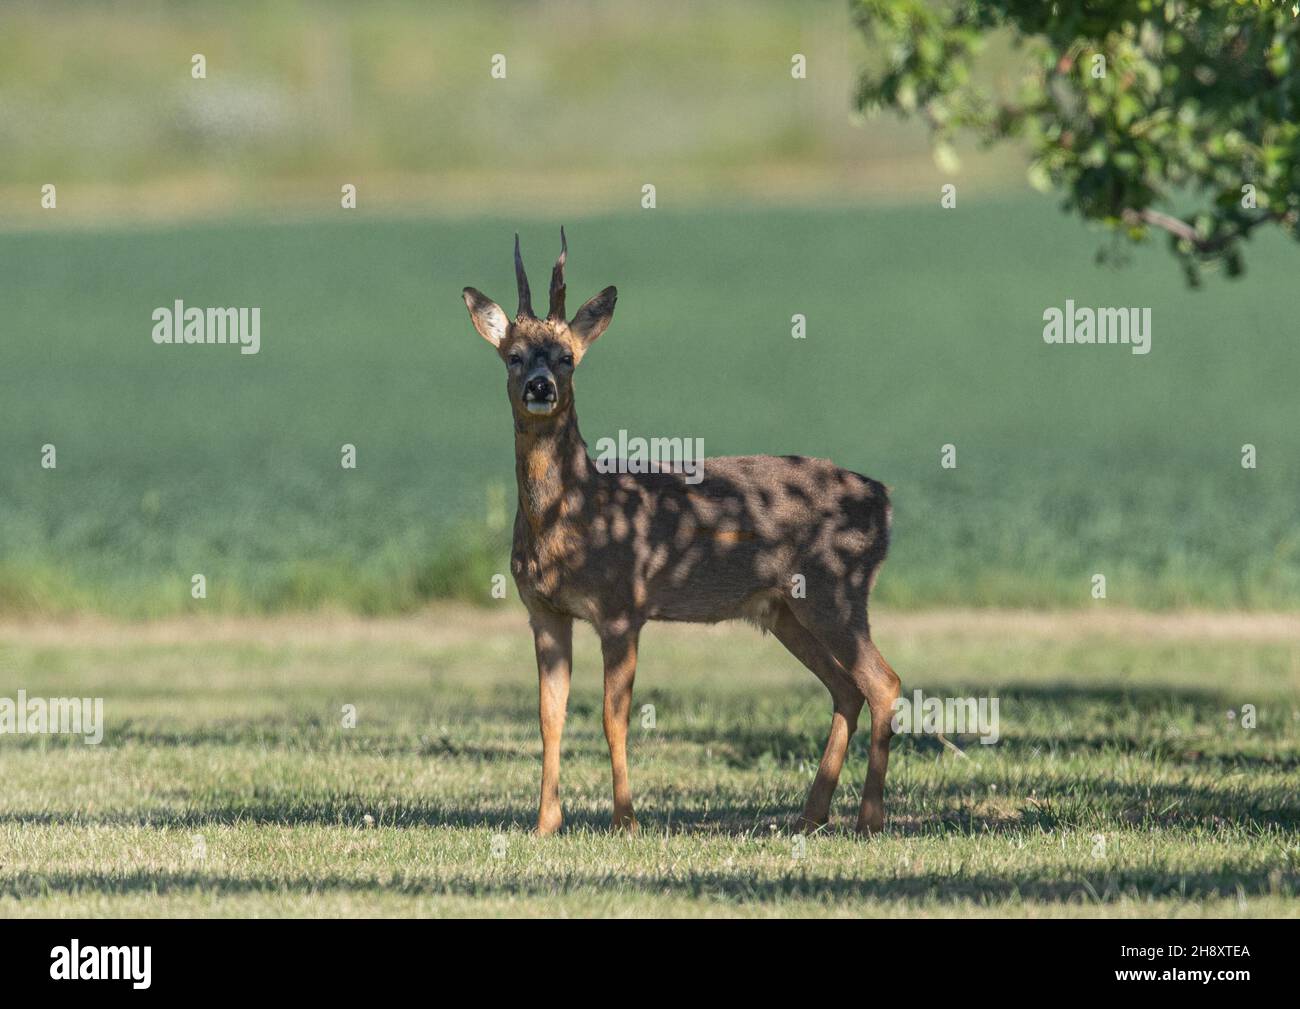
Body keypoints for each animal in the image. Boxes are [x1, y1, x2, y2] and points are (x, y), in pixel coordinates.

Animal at [461, 231, 902, 836]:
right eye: (513, 355)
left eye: (568, 357)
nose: (540, 386)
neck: (574, 513)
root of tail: (884, 499)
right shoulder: (543, 611)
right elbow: (550, 716)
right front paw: (546, 823)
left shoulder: (623, 605)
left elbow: (613, 717)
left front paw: (625, 820)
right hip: (787, 610)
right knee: (848, 690)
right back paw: (810, 815)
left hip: (838, 587)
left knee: (884, 683)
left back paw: (869, 818)